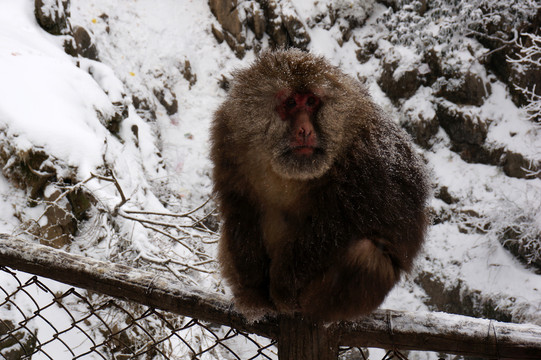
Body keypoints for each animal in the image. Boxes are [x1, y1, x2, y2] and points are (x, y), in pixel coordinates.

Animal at [209, 48, 428, 320]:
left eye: (312, 102)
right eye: (291, 103)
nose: (305, 130)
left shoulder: (366, 157)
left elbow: (336, 227)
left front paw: (284, 285)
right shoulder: (229, 138)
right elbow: (240, 209)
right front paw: (253, 292)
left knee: (366, 256)